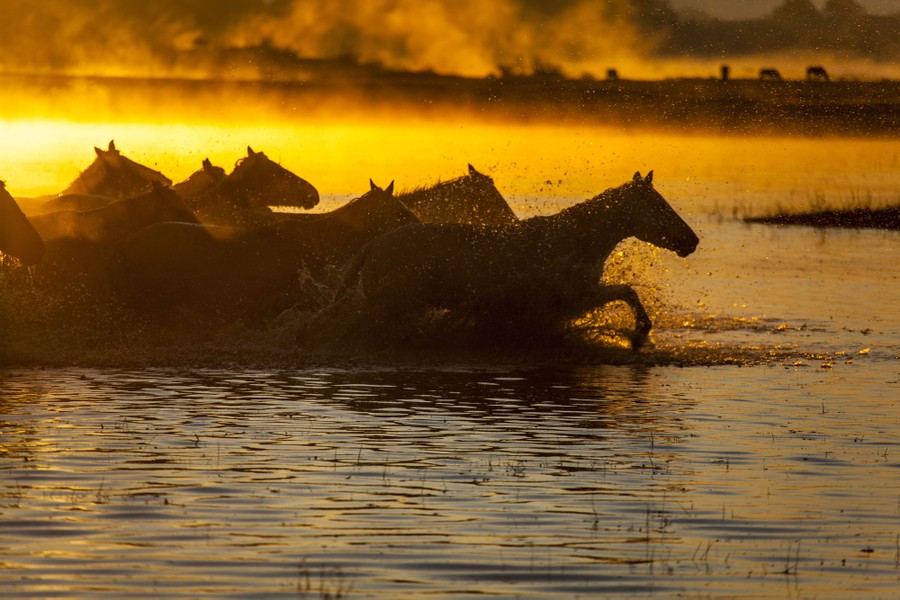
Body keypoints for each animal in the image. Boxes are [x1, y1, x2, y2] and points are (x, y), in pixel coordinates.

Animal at [329, 171, 699, 349]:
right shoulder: (575, 298)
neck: (577, 239)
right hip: (387, 307)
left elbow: (626, 291)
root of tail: (372, 246)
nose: (692, 241)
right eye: (659, 205)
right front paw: (640, 331)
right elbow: (626, 291)